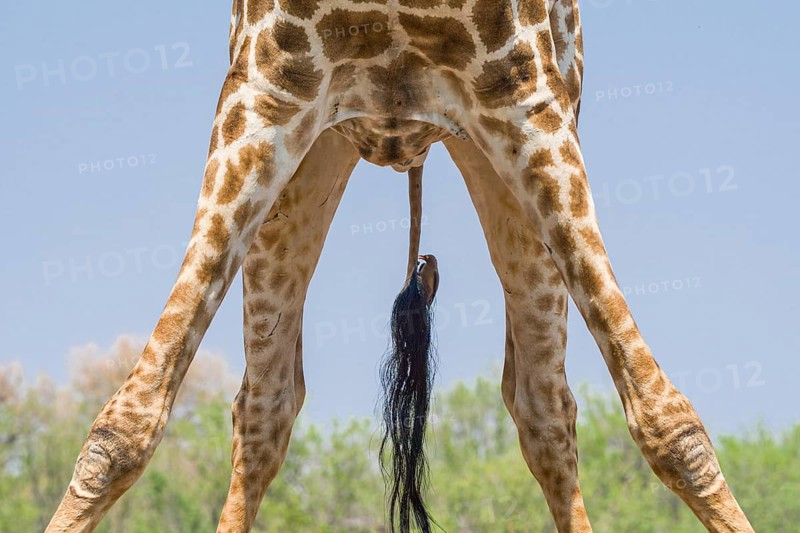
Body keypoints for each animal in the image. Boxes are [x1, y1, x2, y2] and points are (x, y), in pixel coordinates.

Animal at [46, 0, 756, 531]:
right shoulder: (264, 91)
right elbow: (124, 426)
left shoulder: (527, 98)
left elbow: (668, 422)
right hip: (313, 162)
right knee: (266, 404)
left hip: (516, 147)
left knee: (546, 406)